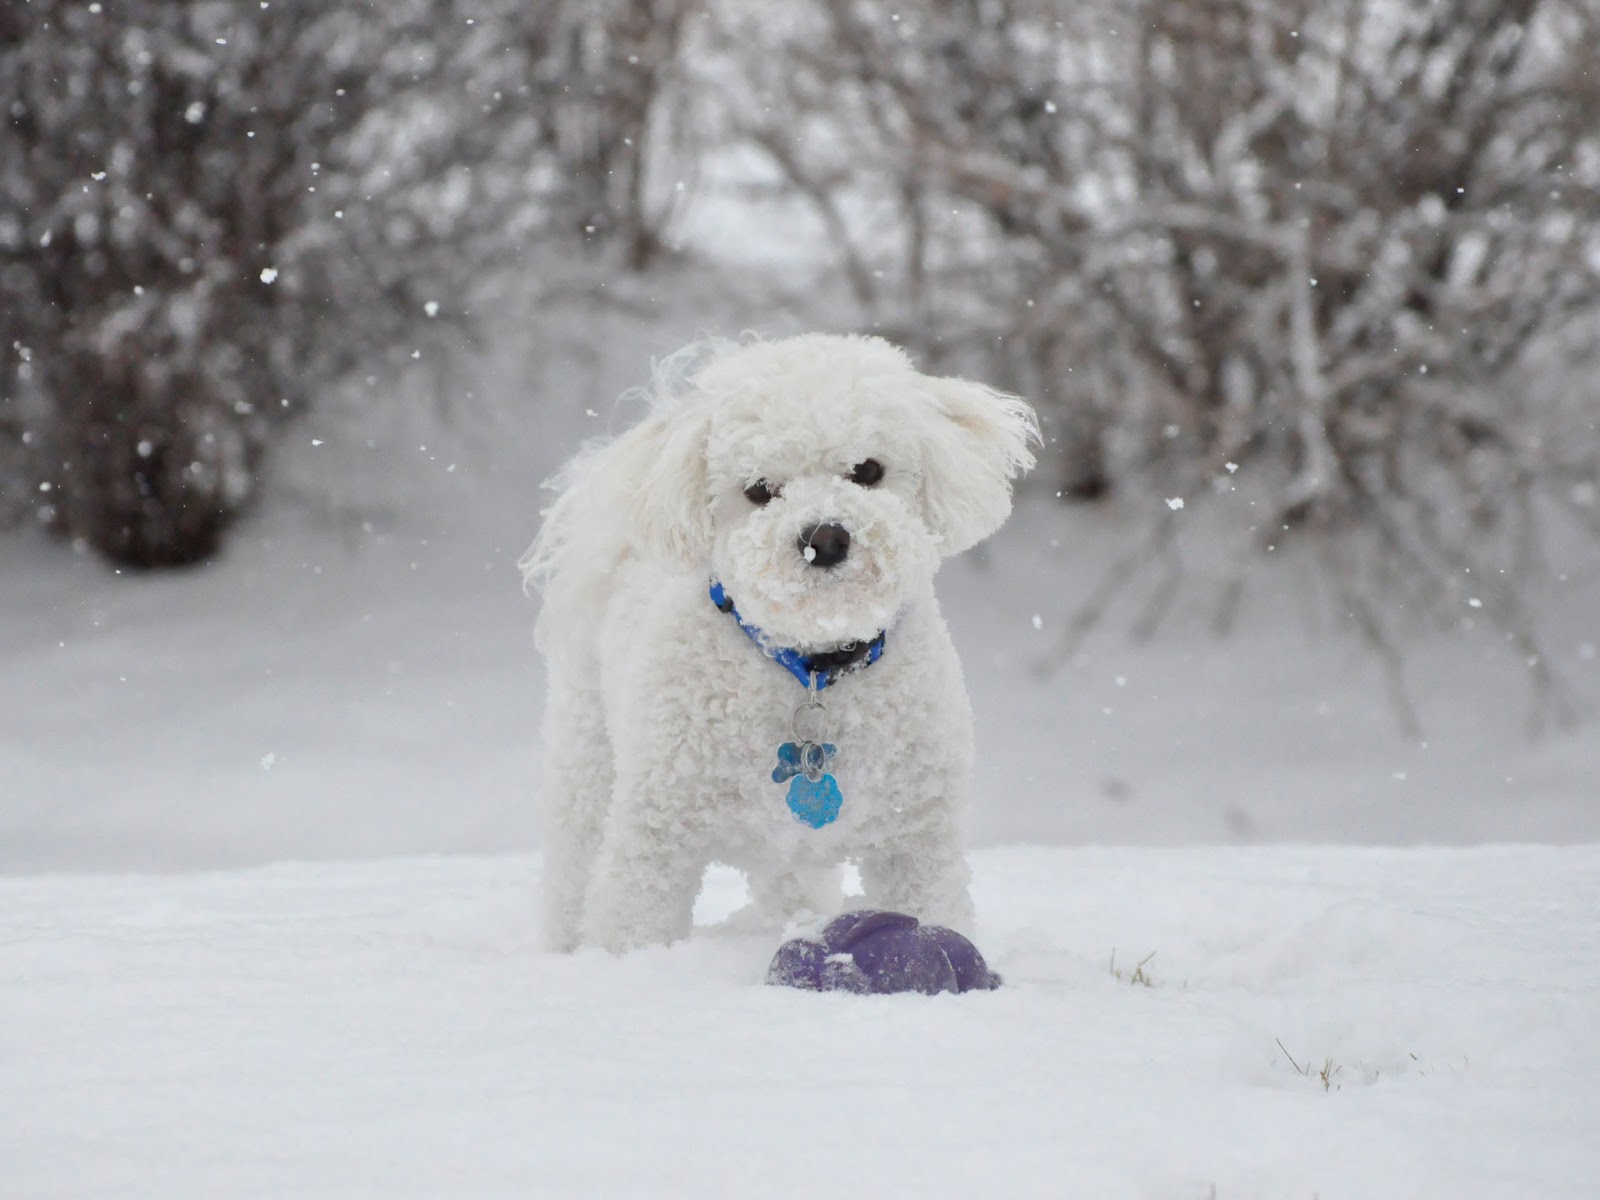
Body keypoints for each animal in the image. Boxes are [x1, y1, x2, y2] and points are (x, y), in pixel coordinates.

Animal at [528, 334, 1036, 953]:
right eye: (758, 491)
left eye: (867, 470)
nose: (825, 538)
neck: (812, 667)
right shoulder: (656, 836)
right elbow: (633, 923)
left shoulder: (917, 836)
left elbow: (932, 909)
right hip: (586, 754)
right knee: (573, 861)